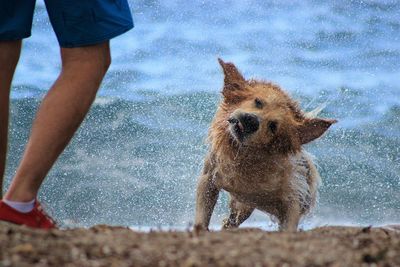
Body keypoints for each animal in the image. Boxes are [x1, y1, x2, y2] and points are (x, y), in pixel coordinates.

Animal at [195, 59, 336, 232]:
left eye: (273, 126)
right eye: (258, 102)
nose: (251, 121)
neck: (245, 158)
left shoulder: (293, 197)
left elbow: (290, 220)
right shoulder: (210, 177)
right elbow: (203, 210)